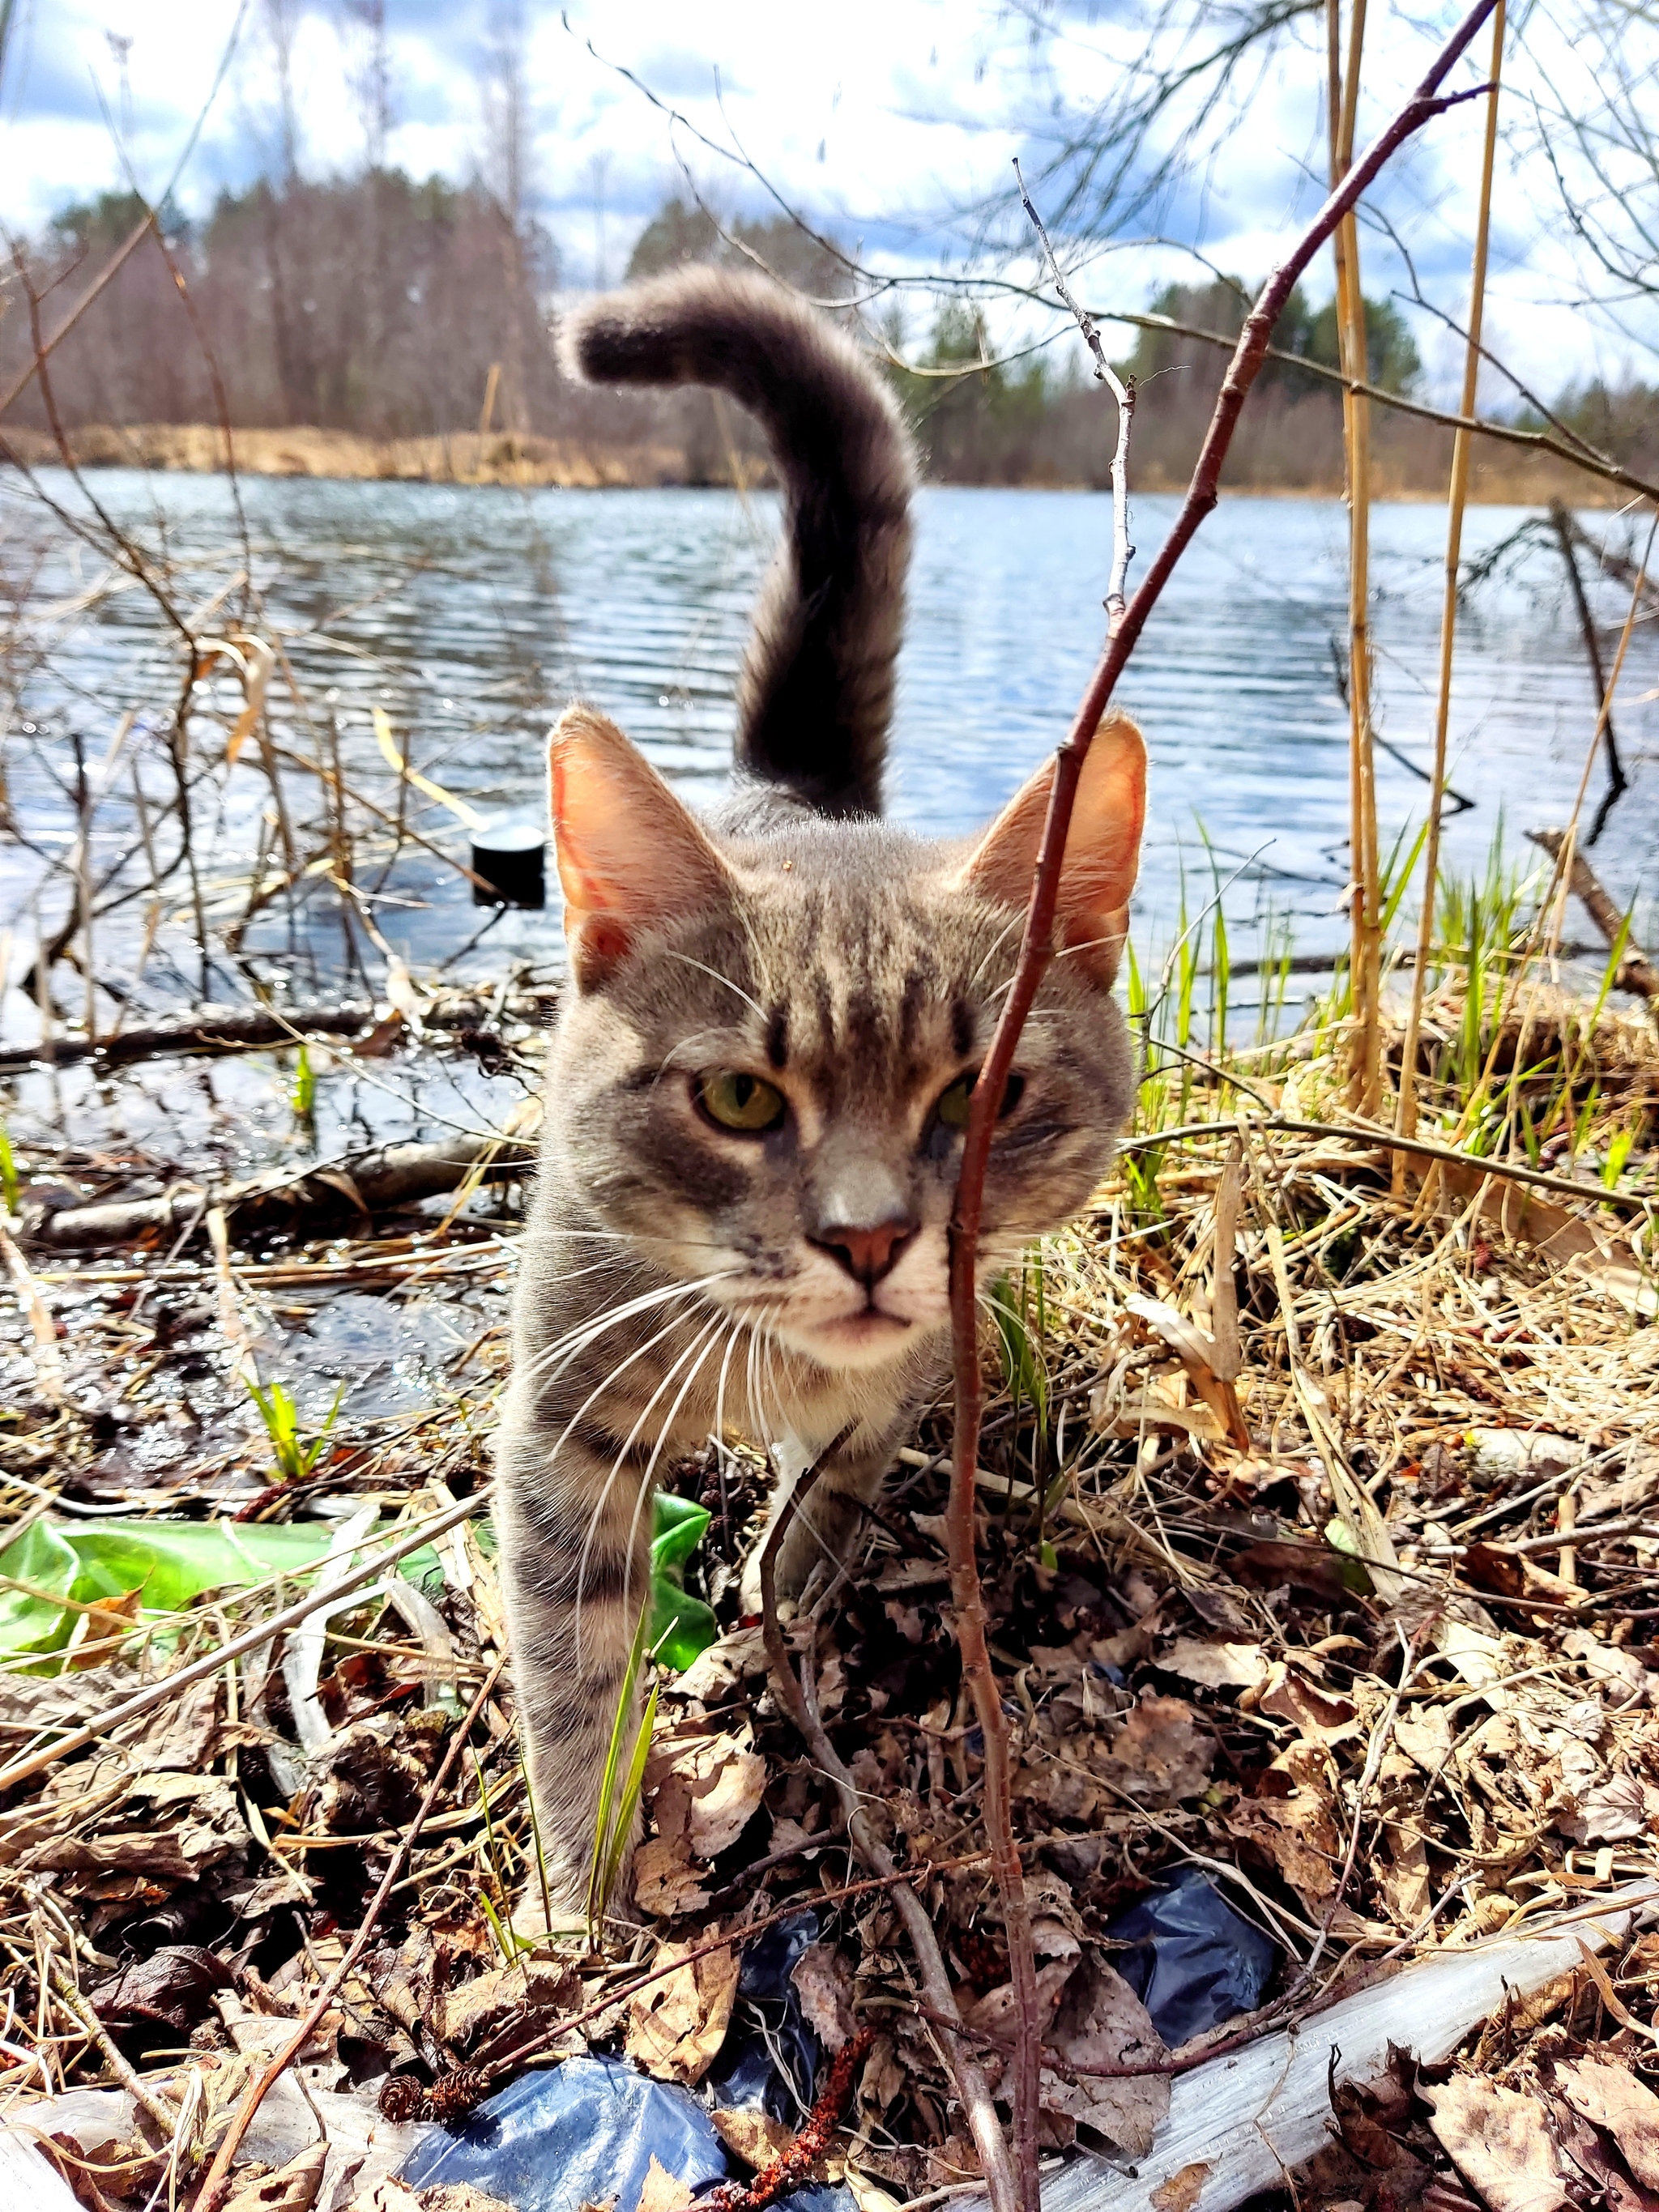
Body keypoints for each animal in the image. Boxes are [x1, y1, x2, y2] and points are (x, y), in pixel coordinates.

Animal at [493, 267, 1141, 1911]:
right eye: (736, 1101)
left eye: (981, 1093)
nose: (864, 1241)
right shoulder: (558, 1421)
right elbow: (568, 1660)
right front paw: (583, 1883)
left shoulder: (901, 1374)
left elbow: (843, 1471)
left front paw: (793, 1576)